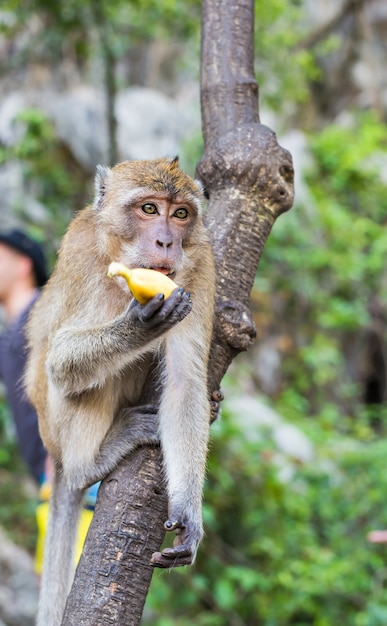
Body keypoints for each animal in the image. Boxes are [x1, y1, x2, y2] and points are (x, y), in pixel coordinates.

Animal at [25, 157, 217, 624]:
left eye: (180, 214)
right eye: (149, 209)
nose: (167, 240)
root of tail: (57, 456)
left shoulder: (202, 267)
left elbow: (186, 382)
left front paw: (188, 516)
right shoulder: (83, 257)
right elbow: (60, 364)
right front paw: (140, 326)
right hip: (57, 429)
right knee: (85, 382)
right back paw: (89, 464)